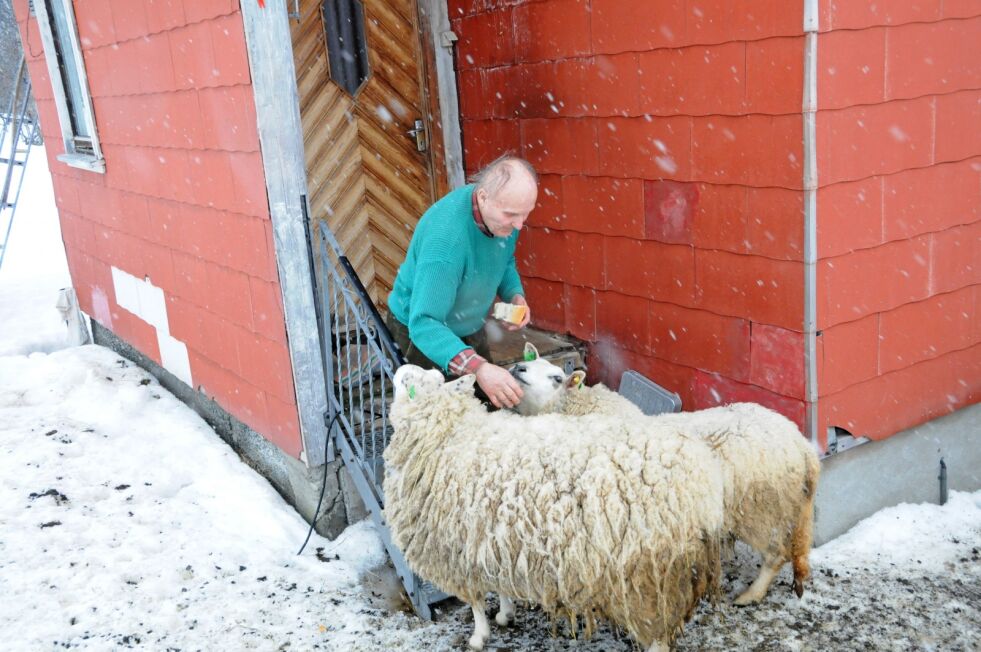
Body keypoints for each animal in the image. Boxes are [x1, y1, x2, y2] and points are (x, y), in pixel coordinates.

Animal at [386, 364, 724, 648]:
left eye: (408, 383)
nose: (400, 368)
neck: (452, 431)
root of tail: (701, 480)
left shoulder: (455, 548)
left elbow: (476, 602)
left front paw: (479, 636)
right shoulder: (492, 538)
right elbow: (498, 582)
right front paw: (505, 614)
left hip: (648, 575)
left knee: (657, 635)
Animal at [510, 352, 824, 608]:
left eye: (556, 377)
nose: (517, 367)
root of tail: (802, 446)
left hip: (759, 508)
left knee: (775, 554)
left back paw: (750, 595)